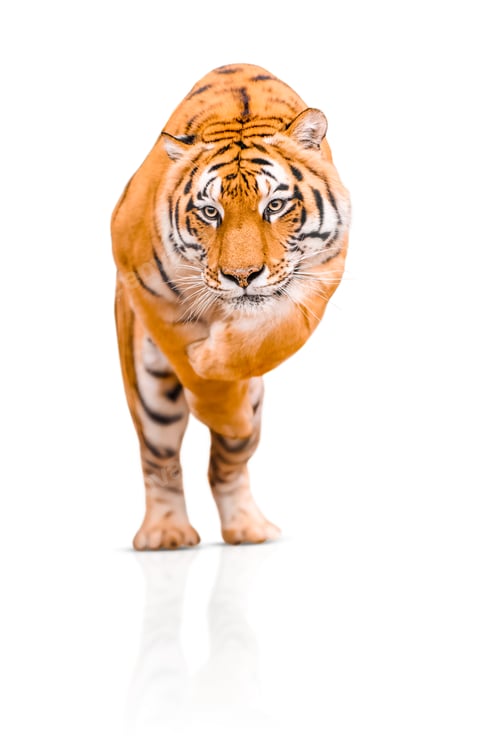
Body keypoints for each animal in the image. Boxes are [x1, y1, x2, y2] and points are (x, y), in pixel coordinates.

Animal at [111, 63, 351, 550]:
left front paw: (227, 394)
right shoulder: (141, 277)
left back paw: (248, 527)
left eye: (274, 205)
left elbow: (275, 334)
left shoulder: (325, 269)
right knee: (160, 458)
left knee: (227, 463)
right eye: (209, 212)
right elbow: (191, 362)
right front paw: (210, 381)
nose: (241, 276)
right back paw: (166, 533)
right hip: (147, 388)